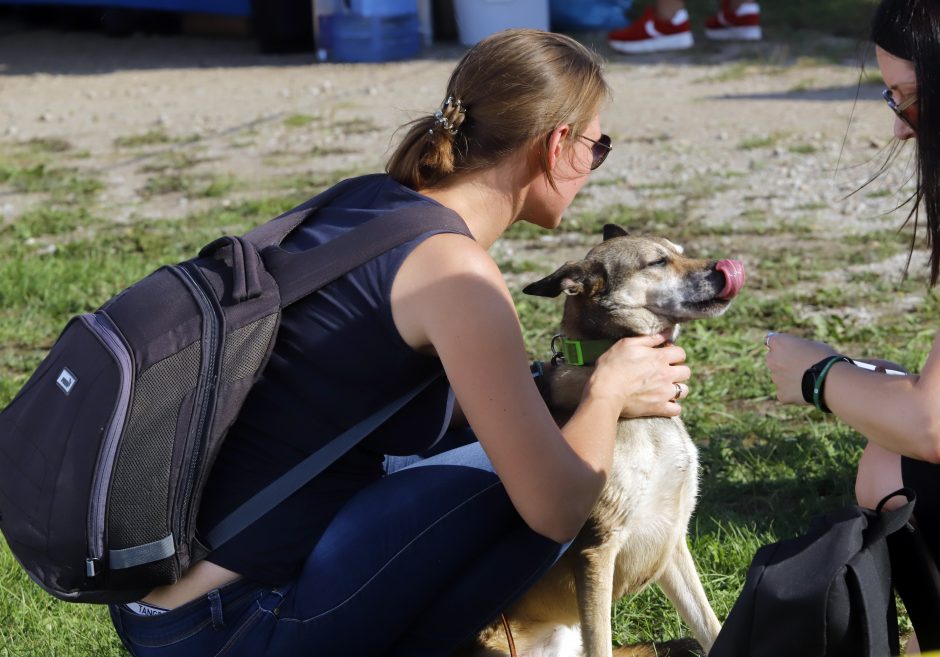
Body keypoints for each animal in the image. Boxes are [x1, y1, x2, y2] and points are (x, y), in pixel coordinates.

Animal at [458, 223, 744, 652]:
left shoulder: (673, 541)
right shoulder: (597, 553)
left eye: (679, 251)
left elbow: (712, 628)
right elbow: (602, 644)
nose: (727, 267)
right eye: (658, 262)